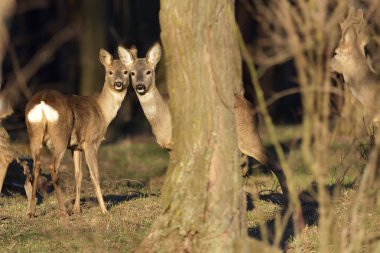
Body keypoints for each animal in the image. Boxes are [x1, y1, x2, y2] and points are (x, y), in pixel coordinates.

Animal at [24, 47, 134, 215]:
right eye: (110, 72)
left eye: (126, 71)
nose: (118, 83)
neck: (103, 112)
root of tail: (42, 102)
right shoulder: (90, 141)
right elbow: (95, 174)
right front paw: (104, 210)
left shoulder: (75, 146)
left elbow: (78, 174)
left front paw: (77, 209)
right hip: (60, 136)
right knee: (52, 166)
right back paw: (63, 210)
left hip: (34, 134)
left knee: (36, 166)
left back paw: (31, 211)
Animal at [117, 43, 290, 197]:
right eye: (132, 73)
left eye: (148, 71)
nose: (140, 86)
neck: (163, 119)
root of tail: (252, 106)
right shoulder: (169, 148)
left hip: (247, 134)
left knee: (275, 162)